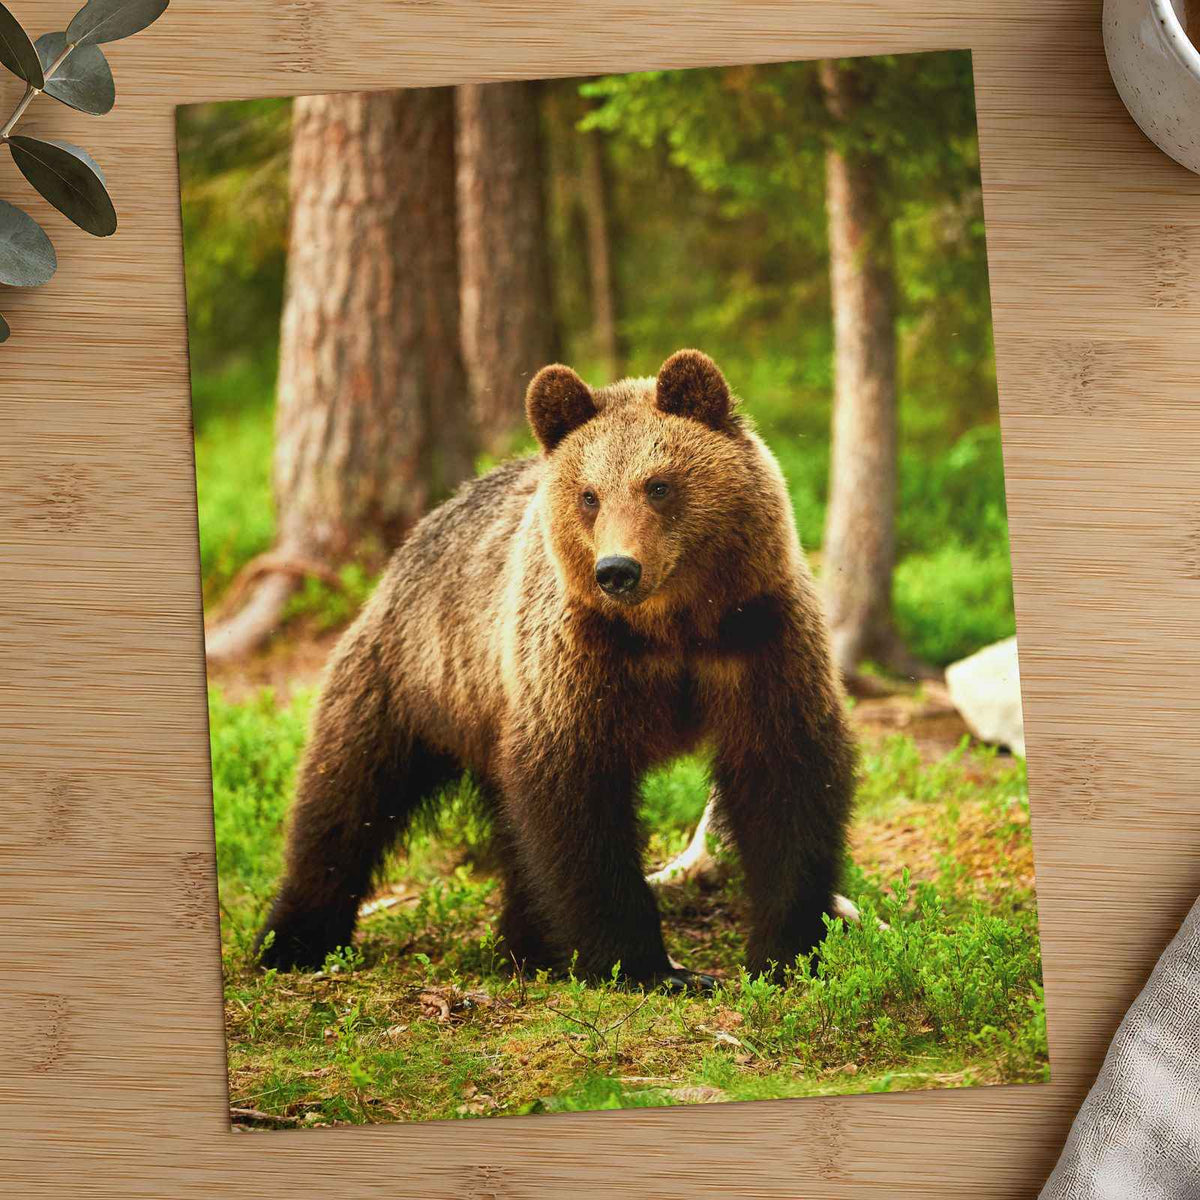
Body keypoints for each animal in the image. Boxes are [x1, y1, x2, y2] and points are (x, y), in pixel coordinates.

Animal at [255, 349, 856, 989]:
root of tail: (409, 543)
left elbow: (786, 779)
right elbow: (576, 802)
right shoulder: (577, 661)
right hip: (414, 676)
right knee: (345, 796)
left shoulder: (758, 641)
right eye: (590, 495)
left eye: (659, 485)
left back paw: (528, 944)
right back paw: (293, 939)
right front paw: (646, 965)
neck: (673, 628)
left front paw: (786, 952)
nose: (617, 570)